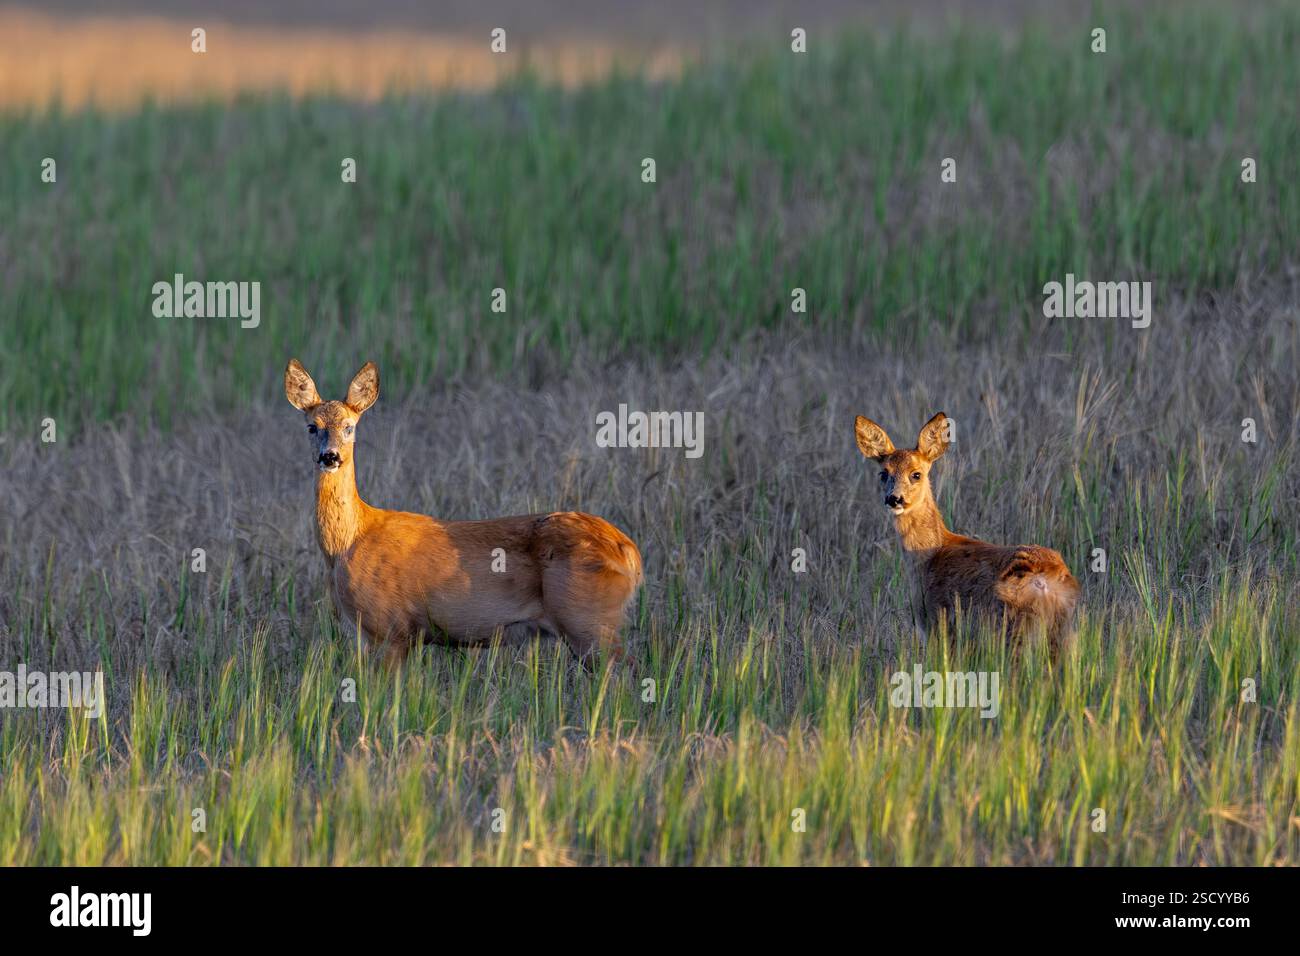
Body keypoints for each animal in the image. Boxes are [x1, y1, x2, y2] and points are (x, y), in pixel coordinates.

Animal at [284, 359, 643, 666]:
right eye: (312, 427)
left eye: (349, 427)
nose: (330, 457)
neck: (348, 543)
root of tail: (629, 552)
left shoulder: (391, 628)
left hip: (588, 619)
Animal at [854, 412, 1080, 652]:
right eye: (883, 473)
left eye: (916, 474)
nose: (894, 498)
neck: (929, 556)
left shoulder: (939, 623)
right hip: (1062, 630)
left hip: (1012, 627)